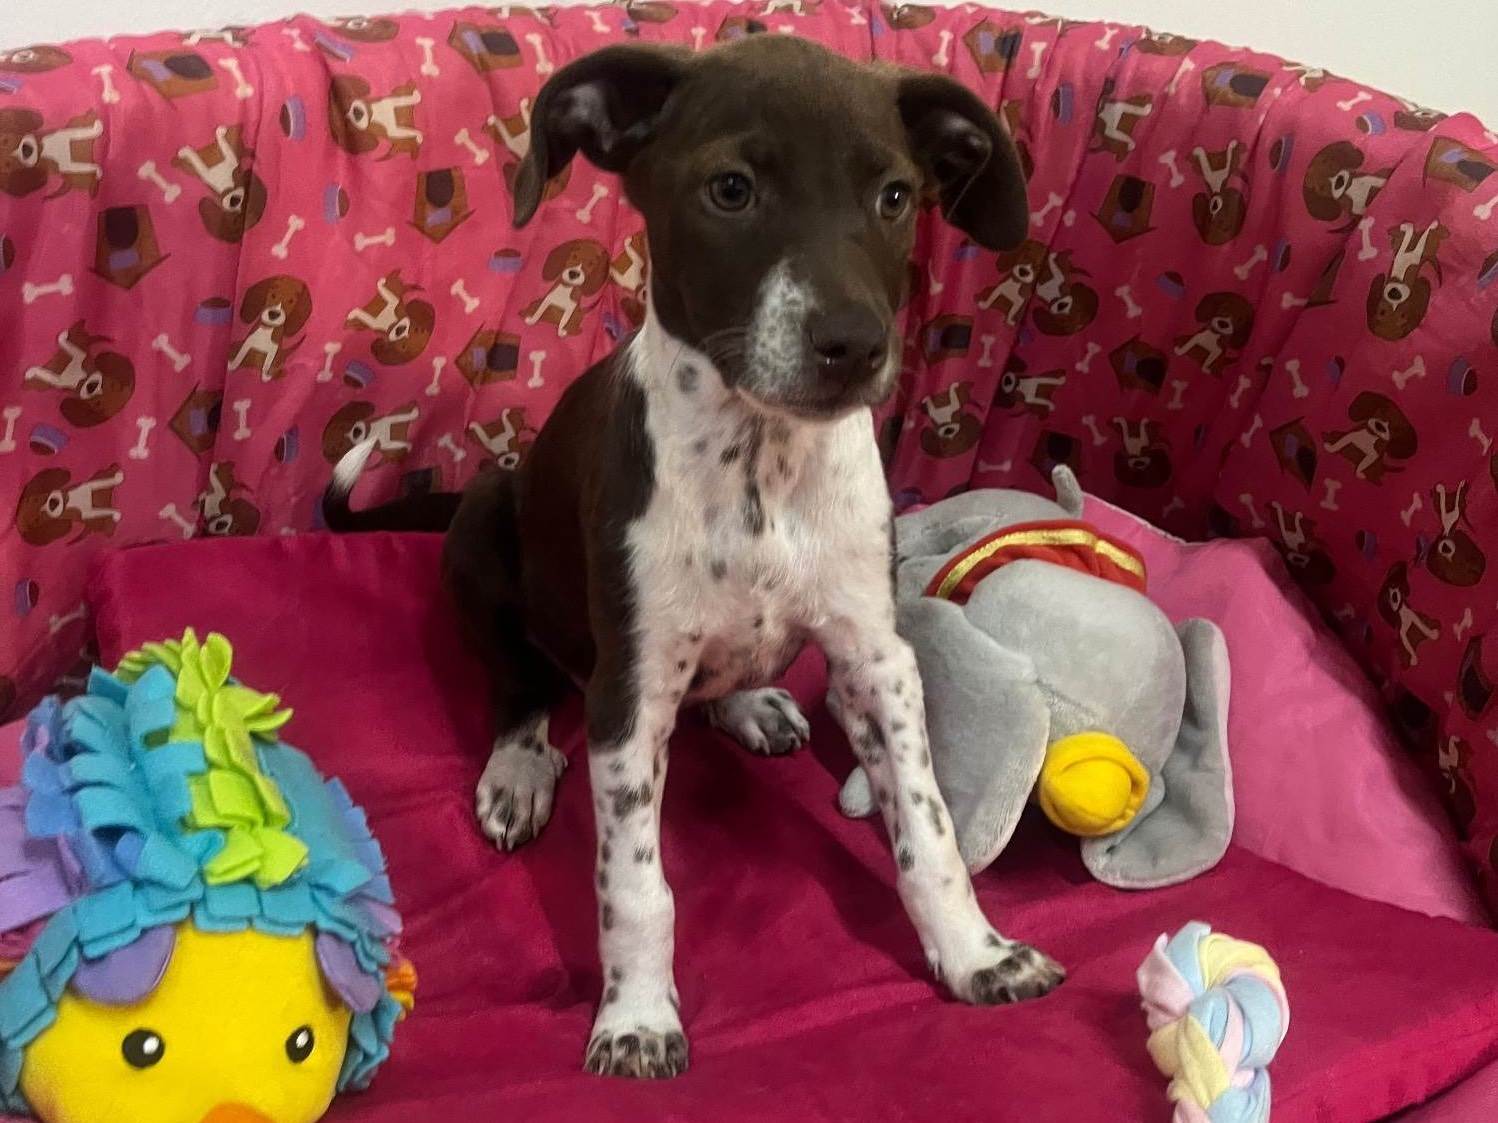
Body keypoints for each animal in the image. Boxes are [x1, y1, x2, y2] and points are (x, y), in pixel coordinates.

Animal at [324, 36, 1059, 1080]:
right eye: (730, 189)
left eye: (895, 197)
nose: (853, 345)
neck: (760, 460)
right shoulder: (629, 692)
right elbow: (637, 886)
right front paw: (636, 1017)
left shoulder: (877, 657)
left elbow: (928, 825)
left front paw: (974, 951)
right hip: (482, 526)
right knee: (517, 677)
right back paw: (519, 764)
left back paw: (748, 701)